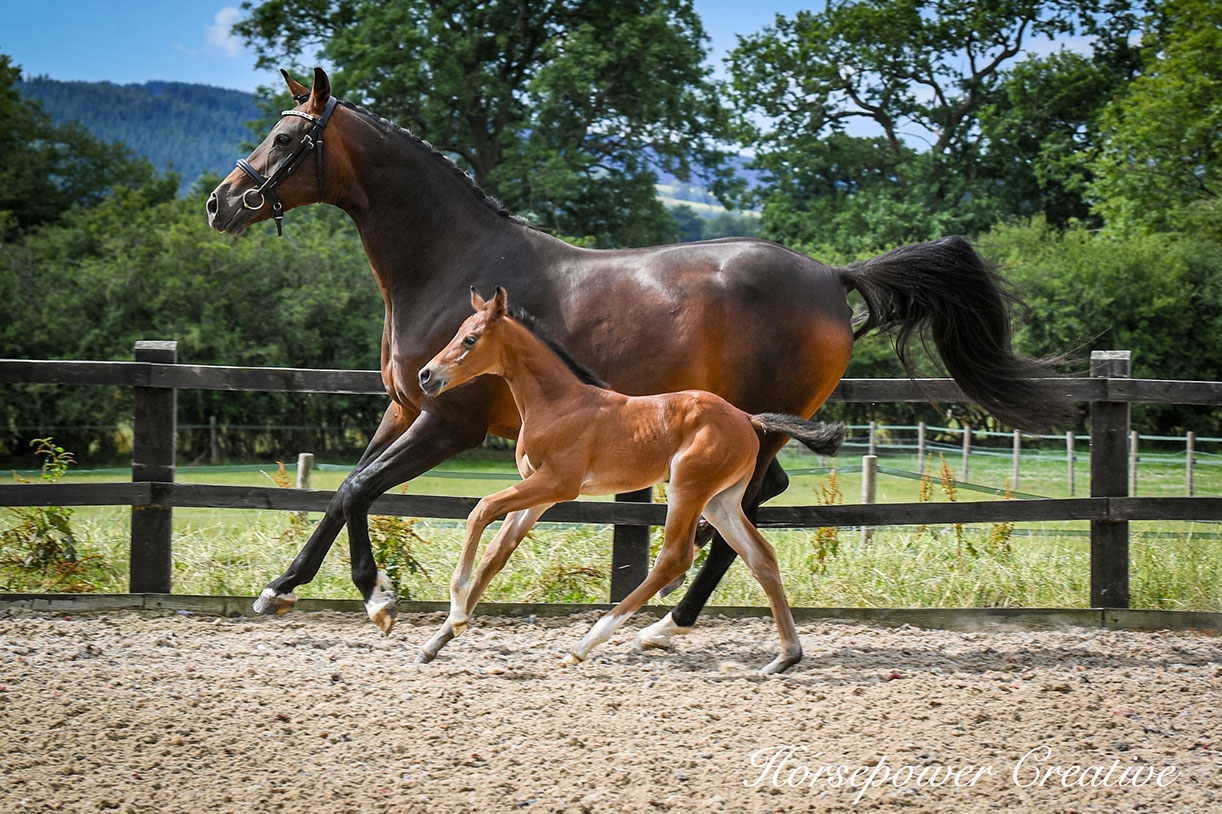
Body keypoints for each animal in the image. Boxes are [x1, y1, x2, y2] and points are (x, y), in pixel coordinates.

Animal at [415, 284, 845, 669]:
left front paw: (456, 610)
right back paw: (786, 657)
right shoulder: (540, 495)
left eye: (470, 339)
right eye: (457, 332)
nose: (426, 375)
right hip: (720, 502)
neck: (558, 403)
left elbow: (481, 509)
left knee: (675, 558)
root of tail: (747, 418)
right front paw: (439, 639)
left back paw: (588, 644)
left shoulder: (558, 484)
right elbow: (495, 555)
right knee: (761, 556)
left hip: (687, 488)